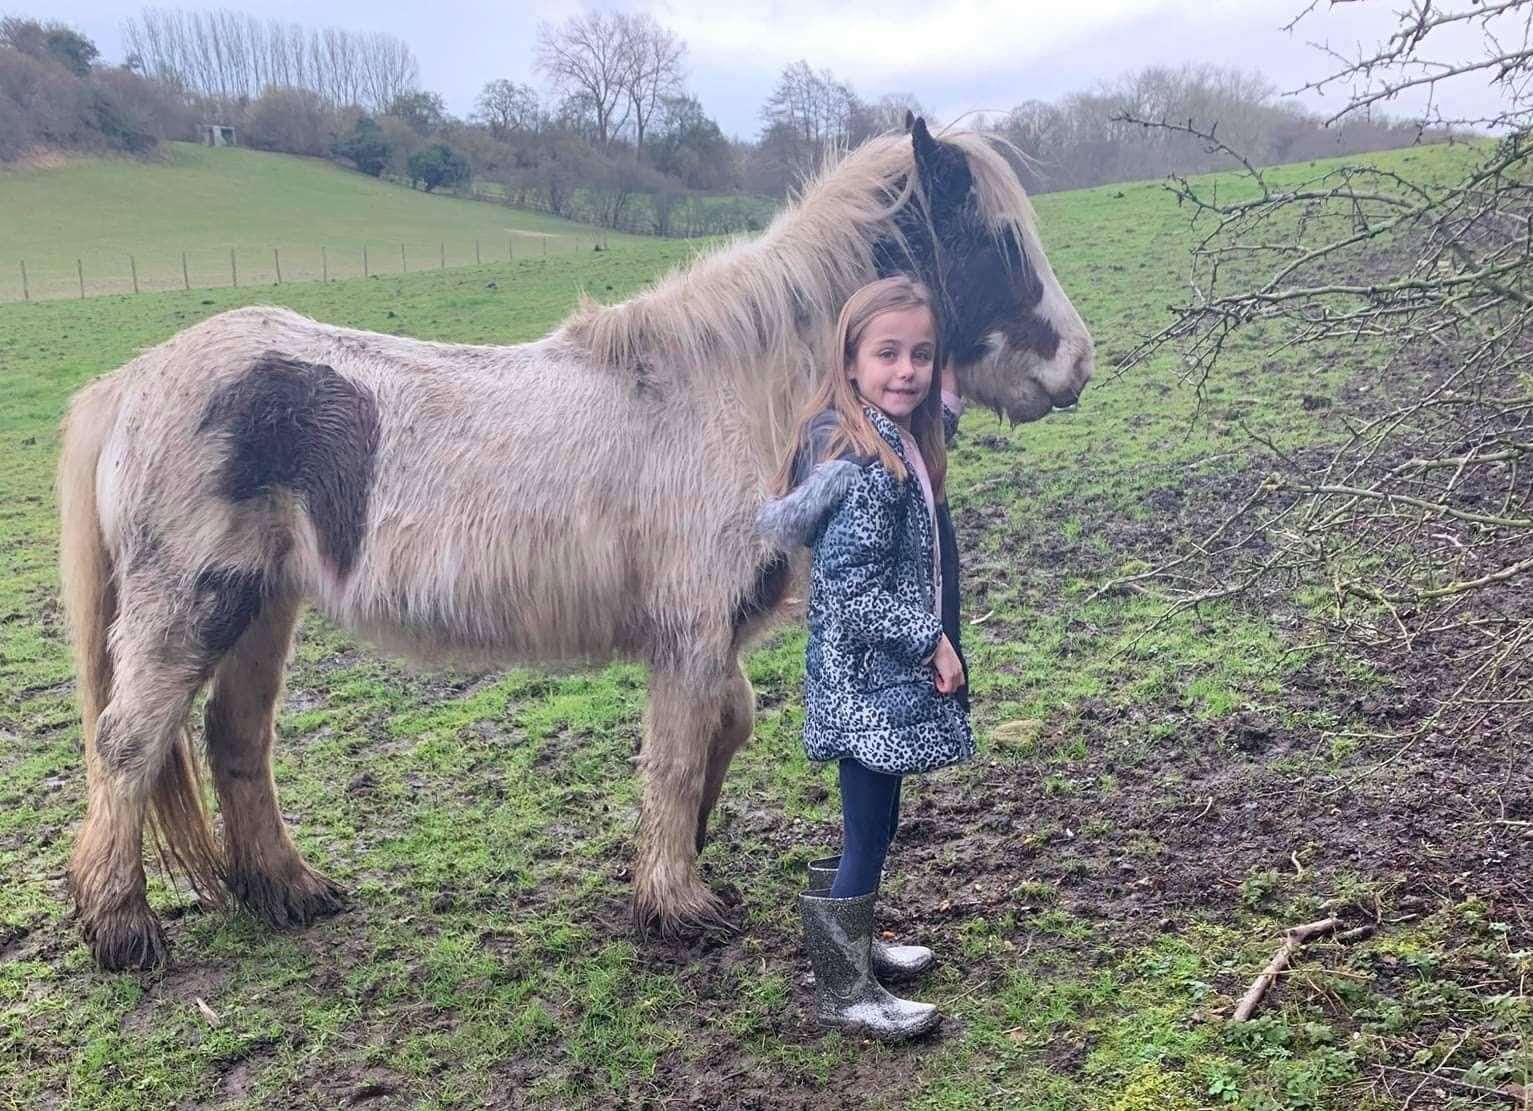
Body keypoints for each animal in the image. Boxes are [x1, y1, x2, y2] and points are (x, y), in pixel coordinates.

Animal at [56, 117, 1091, 968]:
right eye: (996, 241)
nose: (1076, 366)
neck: (730, 393)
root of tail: (131, 382)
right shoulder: (689, 630)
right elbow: (677, 748)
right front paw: (677, 902)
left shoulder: (709, 629)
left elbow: (724, 726)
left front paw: (681, 858)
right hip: (192, 604)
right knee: (128, 741)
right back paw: (121, 927)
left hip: (265, 607)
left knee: (236, 738)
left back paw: (287, 889)